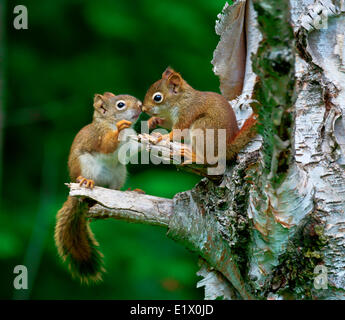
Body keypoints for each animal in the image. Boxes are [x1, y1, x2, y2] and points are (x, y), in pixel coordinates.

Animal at [55, 92, 142, 282]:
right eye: (120, 105)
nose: (140, 106)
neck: (107, 122)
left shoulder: (131, 141)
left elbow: (135, 150)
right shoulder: (99, 136)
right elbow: (107, 145)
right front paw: (119, 129)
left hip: (119, 173)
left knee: (113, 192)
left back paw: (129, 191)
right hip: (86, 164)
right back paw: (86, 182)